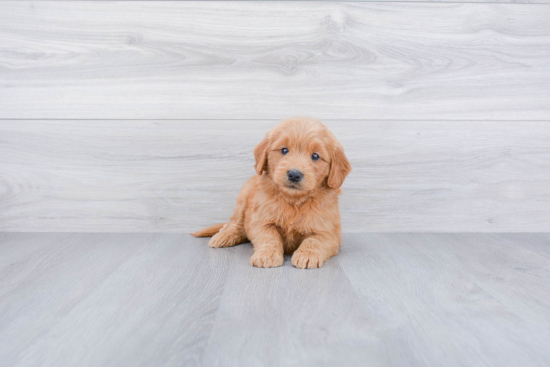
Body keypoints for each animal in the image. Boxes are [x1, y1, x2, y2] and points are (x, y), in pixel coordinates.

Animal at [192, 116, 352, 268]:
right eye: (284, 150)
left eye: (315, 156)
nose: (294, 174)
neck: (293, 201)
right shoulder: (261, 221)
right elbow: (269, 237)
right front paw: (267, 255)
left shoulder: (329, 232)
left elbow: (314, 240)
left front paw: (307, 255)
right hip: (244, 195)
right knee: (235, 223)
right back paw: (224, 235)